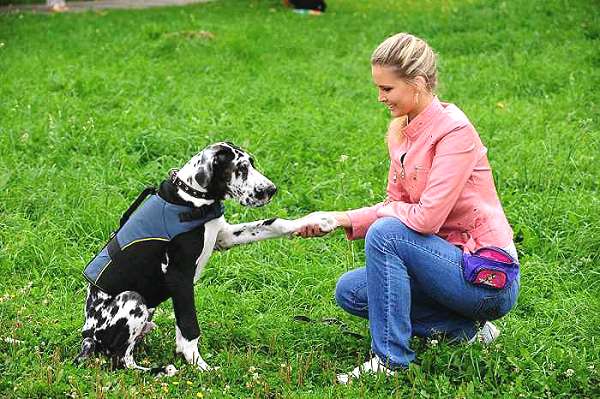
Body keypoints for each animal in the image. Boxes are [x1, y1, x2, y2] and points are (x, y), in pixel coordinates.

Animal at [74, 143, 338, 376]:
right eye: (241, 169)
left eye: (252, 163)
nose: (271, 190)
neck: (192, 198)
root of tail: (87, 335)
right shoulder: (180, 276)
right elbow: (190, 327)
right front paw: (200, 366)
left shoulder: (224, 237)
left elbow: (274, 223)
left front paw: (318, 221)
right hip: (132, 299)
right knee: (121, 360)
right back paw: (161, 371)